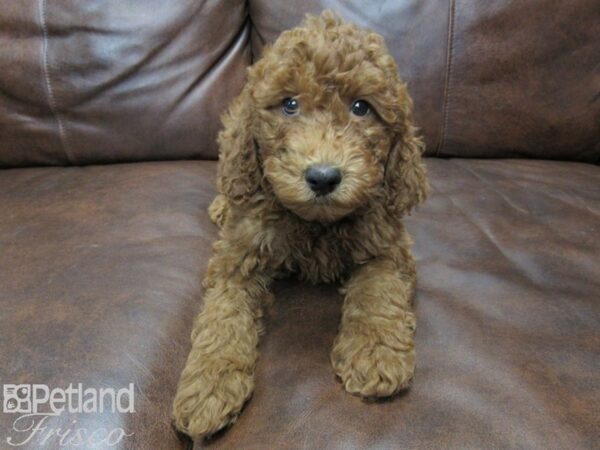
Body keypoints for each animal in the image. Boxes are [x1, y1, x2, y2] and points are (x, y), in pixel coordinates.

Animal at [171, 10, 428, 440]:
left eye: (361, 107)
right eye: (289, 104)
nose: (323, 177)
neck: (315, 223)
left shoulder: (388, 246)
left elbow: (378, 291)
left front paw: (375, 352)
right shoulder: (238, 257)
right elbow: (223, 316)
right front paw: (209, 384)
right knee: (231, 174)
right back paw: (223, 204)